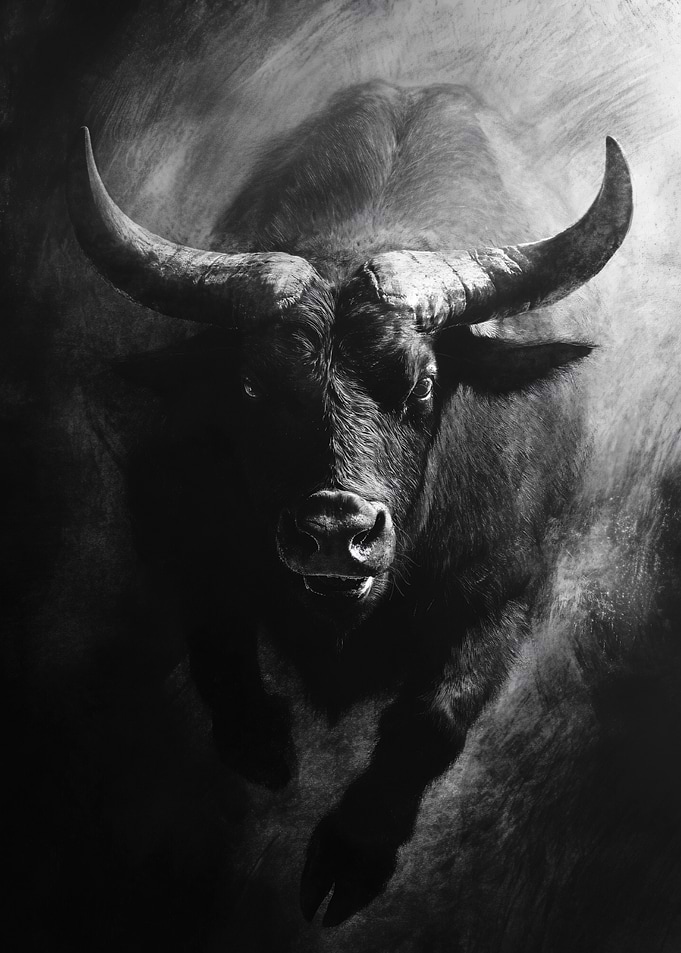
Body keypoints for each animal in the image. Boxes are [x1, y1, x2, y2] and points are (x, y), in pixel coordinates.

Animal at [66, 81, 633, 928]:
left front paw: (352, 853)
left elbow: (431, 716)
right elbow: (217, 644)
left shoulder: (506, 586)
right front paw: (263, 746)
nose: (335, 530)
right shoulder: (179, 530)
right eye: (251, 390)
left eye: (422, 385)